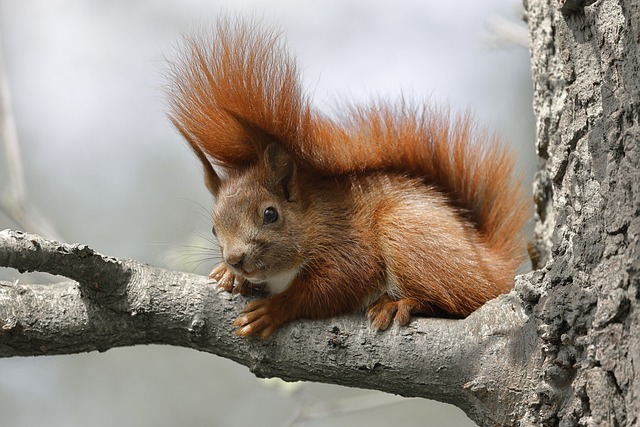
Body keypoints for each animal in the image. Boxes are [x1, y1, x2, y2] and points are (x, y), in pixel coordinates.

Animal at [167, 18, 530, 338]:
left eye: (271, 214)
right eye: (214, 229)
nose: (235, 259)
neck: (312, 216)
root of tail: (493, 265)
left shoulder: (345, 238)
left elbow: (338, 282)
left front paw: (274, 309)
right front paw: (226, 275)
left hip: (408, 232)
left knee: (459, 302)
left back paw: (400, 303)